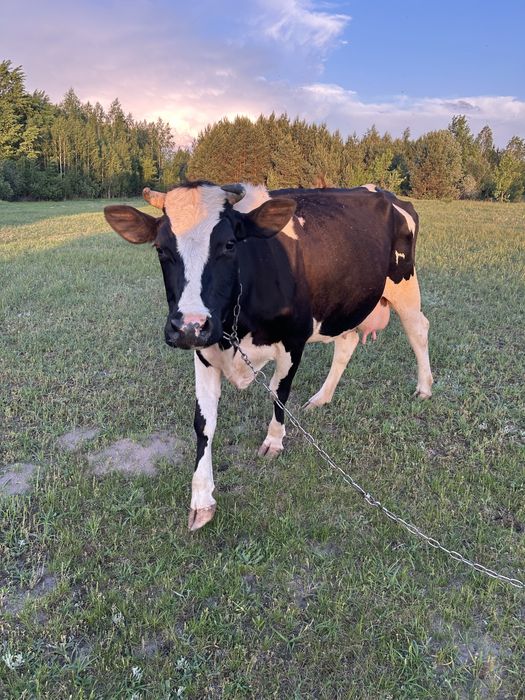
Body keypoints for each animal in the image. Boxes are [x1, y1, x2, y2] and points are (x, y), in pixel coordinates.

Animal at [104, 181, 432, 531]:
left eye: (229, 245)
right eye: (161, 249)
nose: (189, 325)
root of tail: (382, 192)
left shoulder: (293, 340)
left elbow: (278, 393)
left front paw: (274, 441)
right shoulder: (205, 349)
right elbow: (204, 423)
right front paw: (202, 499)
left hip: (404, 284)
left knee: (418, 328)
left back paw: (425, 388)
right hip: (344, 301)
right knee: (348, 342)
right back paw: (322, 397)